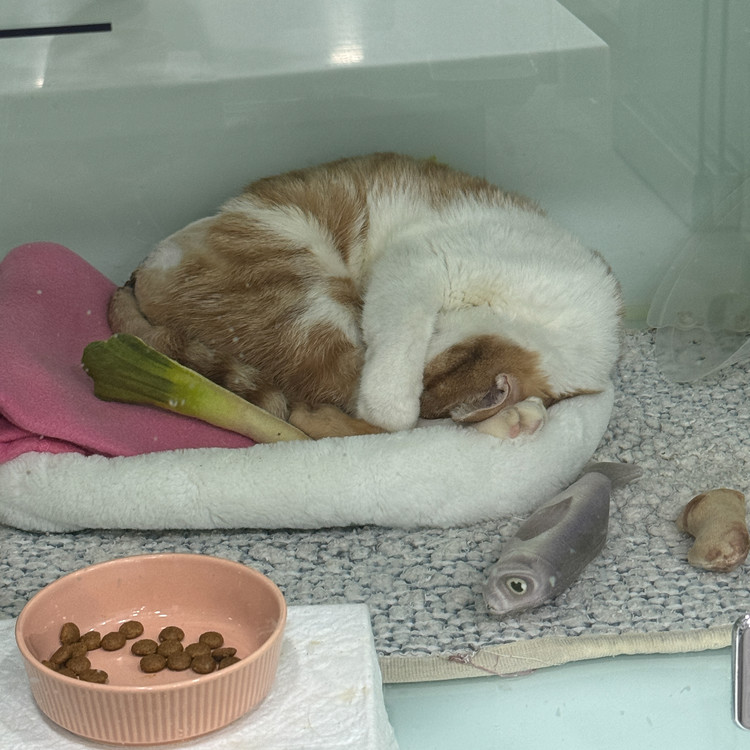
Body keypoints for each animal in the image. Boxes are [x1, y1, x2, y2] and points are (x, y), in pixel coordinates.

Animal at [108, 153, 622, 439]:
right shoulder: (419, 266)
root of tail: (136, 274)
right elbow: (393, 399)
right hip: (307, 297)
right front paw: (398, 404)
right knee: (324, 408)